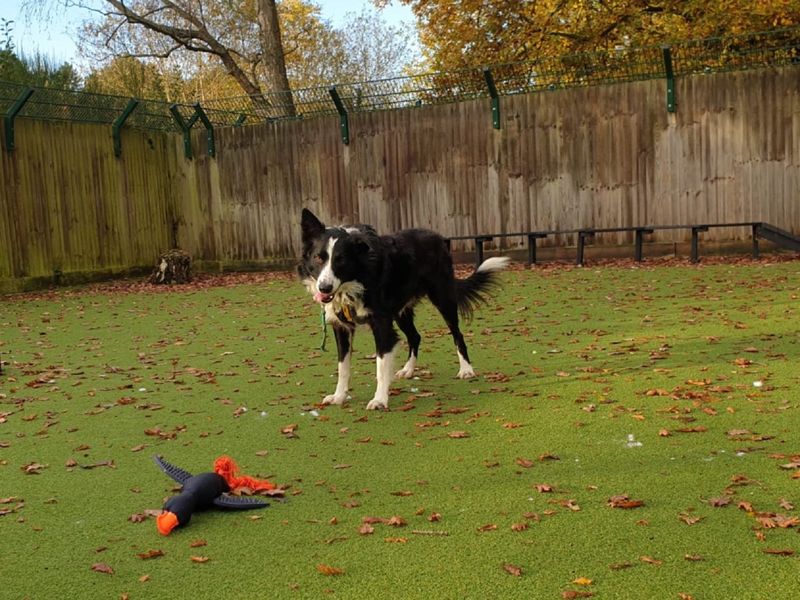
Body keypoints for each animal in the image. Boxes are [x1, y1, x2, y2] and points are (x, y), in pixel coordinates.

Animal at [296, 209, 510, 410]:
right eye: (318, 258)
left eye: (340, 260)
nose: (324, 288)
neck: (356, 278)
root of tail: (437, 237)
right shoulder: (341, 327)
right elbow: (343, 367)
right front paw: (339, 396)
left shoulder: (382, 324)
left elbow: (381, 366)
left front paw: (379, 400)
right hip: (400, 311)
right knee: (415, 336)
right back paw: (408, 369)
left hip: (443, 299)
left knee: (457, 335)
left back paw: (466, 369)